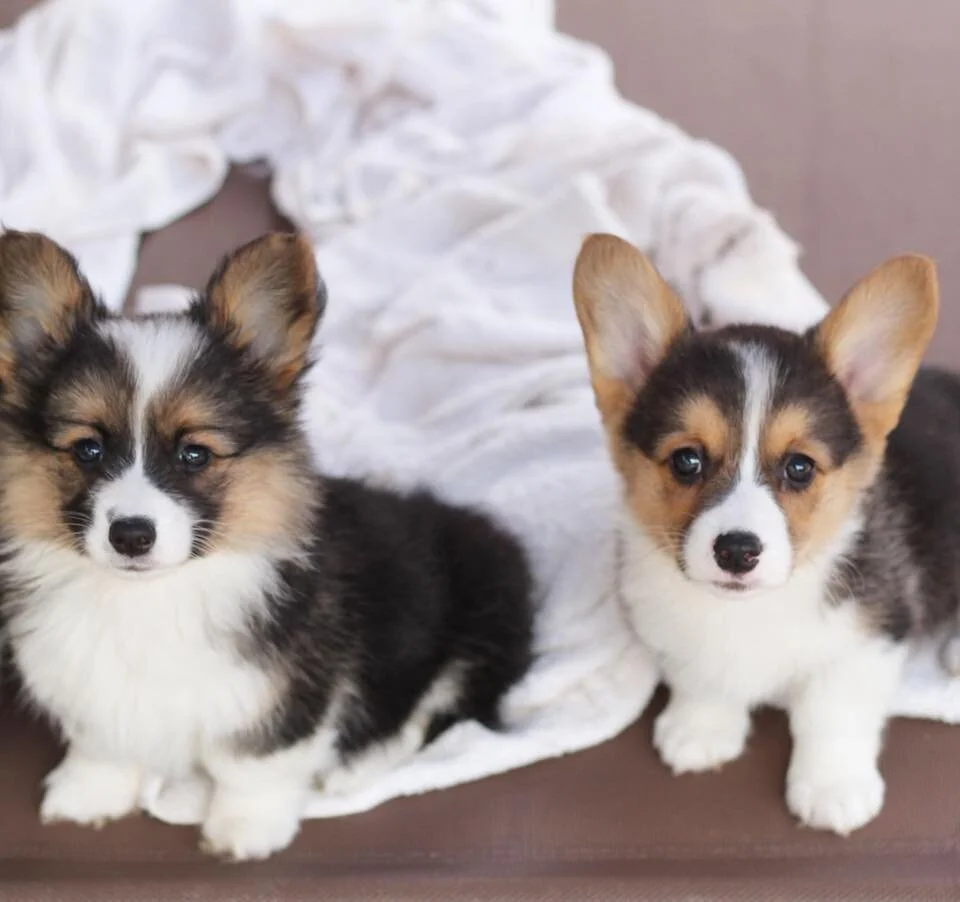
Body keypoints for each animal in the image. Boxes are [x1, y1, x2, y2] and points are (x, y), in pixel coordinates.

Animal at [0, 231, 536, 860]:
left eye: (194, 454)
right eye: (87, 449)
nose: (130, 535)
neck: (152, 597)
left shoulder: (283, 695)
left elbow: (252, 765)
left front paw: (243, 832)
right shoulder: (86, 683)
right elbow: (104, 744)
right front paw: (88, 796)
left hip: (480, 614)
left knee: (439, 710)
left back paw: (353, 768)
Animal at [568, 235, 944, 840]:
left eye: (799, 467)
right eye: (687, 460)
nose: (737, 551)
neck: (750, 611)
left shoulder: (873, 633)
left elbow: (831, 710)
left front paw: (833, 789)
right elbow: (701, 674)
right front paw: (700, 731)